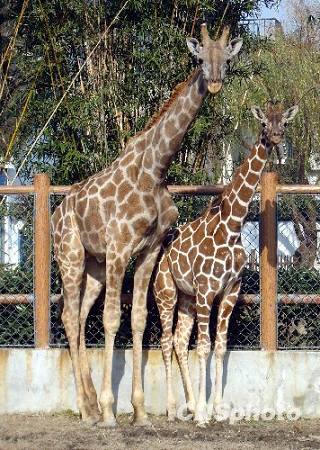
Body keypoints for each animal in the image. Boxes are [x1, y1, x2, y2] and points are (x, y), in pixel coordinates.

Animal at [52, 25, 242, 428]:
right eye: (200, 57)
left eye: (226, 58)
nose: (215, 81)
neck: (154, 169)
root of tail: (58, 212)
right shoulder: (120, 247)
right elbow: (112, 320)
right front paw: (111, 411)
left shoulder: (149, 251)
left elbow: (138, 319)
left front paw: (139, 412)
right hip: (70, 255)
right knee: (69, 315)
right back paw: (89, 409)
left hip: (94, 266)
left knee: (79, 315)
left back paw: (88, 405)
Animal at [154, 101, 298, 426]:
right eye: (263, 124)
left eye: (284, 122)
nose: (276, 136)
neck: (232, 226)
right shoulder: (208, 290)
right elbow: (204, 347)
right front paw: (204, 414)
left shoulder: (230, 290)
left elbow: (219, 346)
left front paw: (217, 409)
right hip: (166, 293)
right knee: (166, 341)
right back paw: (171, 407)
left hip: (187, 298)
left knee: (179, 340)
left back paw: (188, 404)